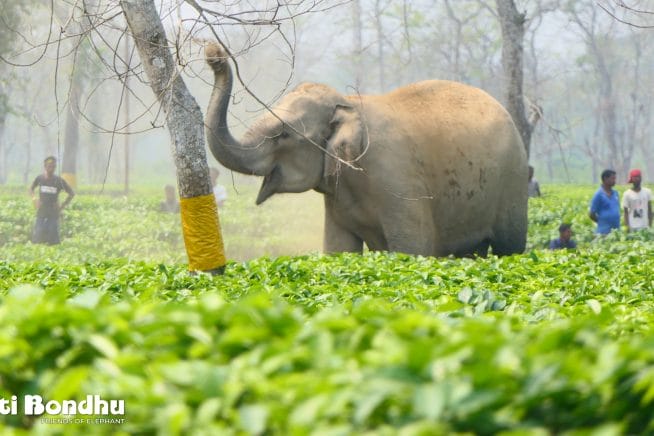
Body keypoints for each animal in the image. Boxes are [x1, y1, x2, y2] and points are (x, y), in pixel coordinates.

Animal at [204, 42, 528, 257]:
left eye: (283, 134)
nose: (213, 53)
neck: (349, 103)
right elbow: (339, 250)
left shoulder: (399, 181)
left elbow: (414, 249)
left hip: (513, 180)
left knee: (509, 246)